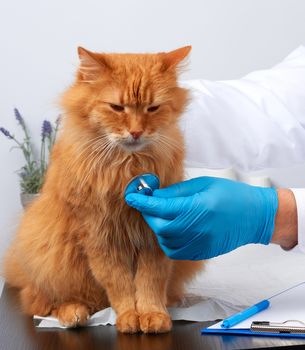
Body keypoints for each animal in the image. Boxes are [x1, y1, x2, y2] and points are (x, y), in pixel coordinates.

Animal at [4, 46, 202, 334]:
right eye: (117, 108)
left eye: (153, 108)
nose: (136, 132)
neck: (127, 166)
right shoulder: (100, 236)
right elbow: (119, 284)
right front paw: (129, 317)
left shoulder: (154, 237)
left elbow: (150, 282)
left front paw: (153, 314)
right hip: (52, 258)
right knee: (44, 302)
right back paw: (74, 314)